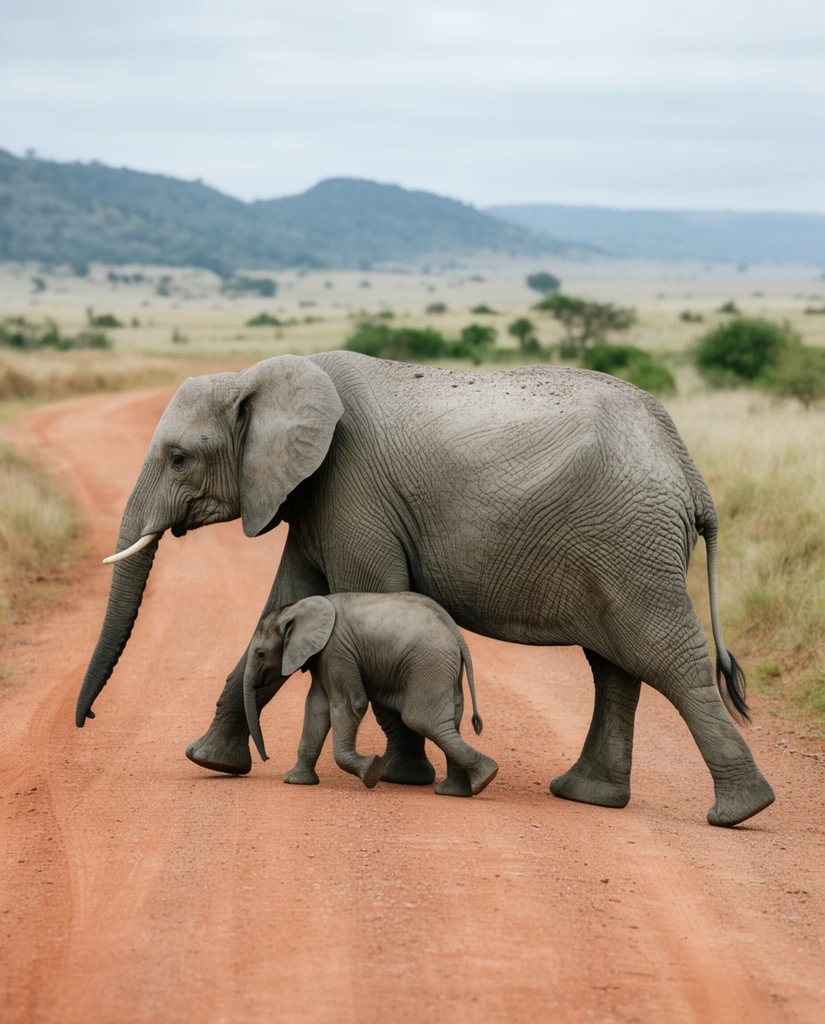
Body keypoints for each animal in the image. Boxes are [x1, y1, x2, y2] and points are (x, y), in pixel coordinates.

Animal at [244, 592, 498, 797]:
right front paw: (296, 781)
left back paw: (487, 776)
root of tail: (456, 633)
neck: (296, 608)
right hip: (445, 671)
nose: (266, 758)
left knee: (422, 720)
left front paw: (371, 771)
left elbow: (349, 704)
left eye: (260, 653)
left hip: (428, 665)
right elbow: (316, 707)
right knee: (450, 723)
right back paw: (457, 791)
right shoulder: (323, 656)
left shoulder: (336, 650)